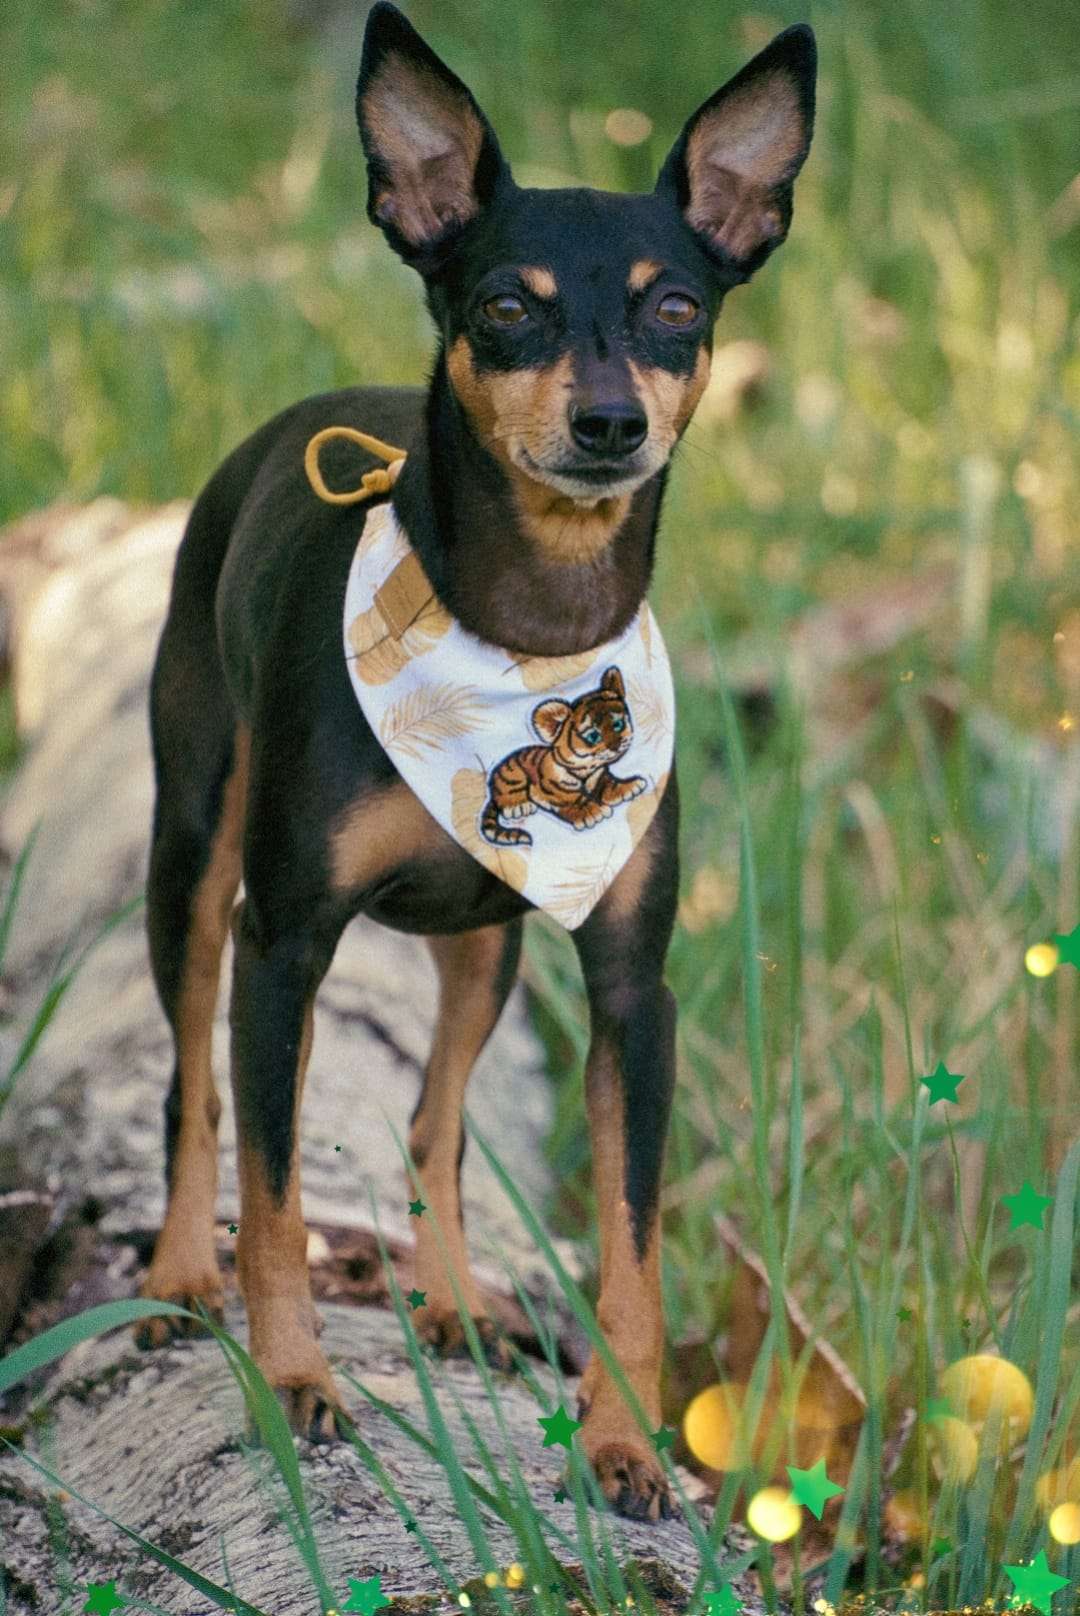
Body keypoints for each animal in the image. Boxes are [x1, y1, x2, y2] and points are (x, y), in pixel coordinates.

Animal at [479, 665, 647, 846]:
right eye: (593, 736)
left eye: (618, 724)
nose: (615, 747)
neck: (586, 769)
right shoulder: (556, 790)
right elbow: (577, 799)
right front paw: (594, 812)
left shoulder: (599, 776)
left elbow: (610, 784)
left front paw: (629, 786)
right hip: (511, 774)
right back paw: (519, 805)